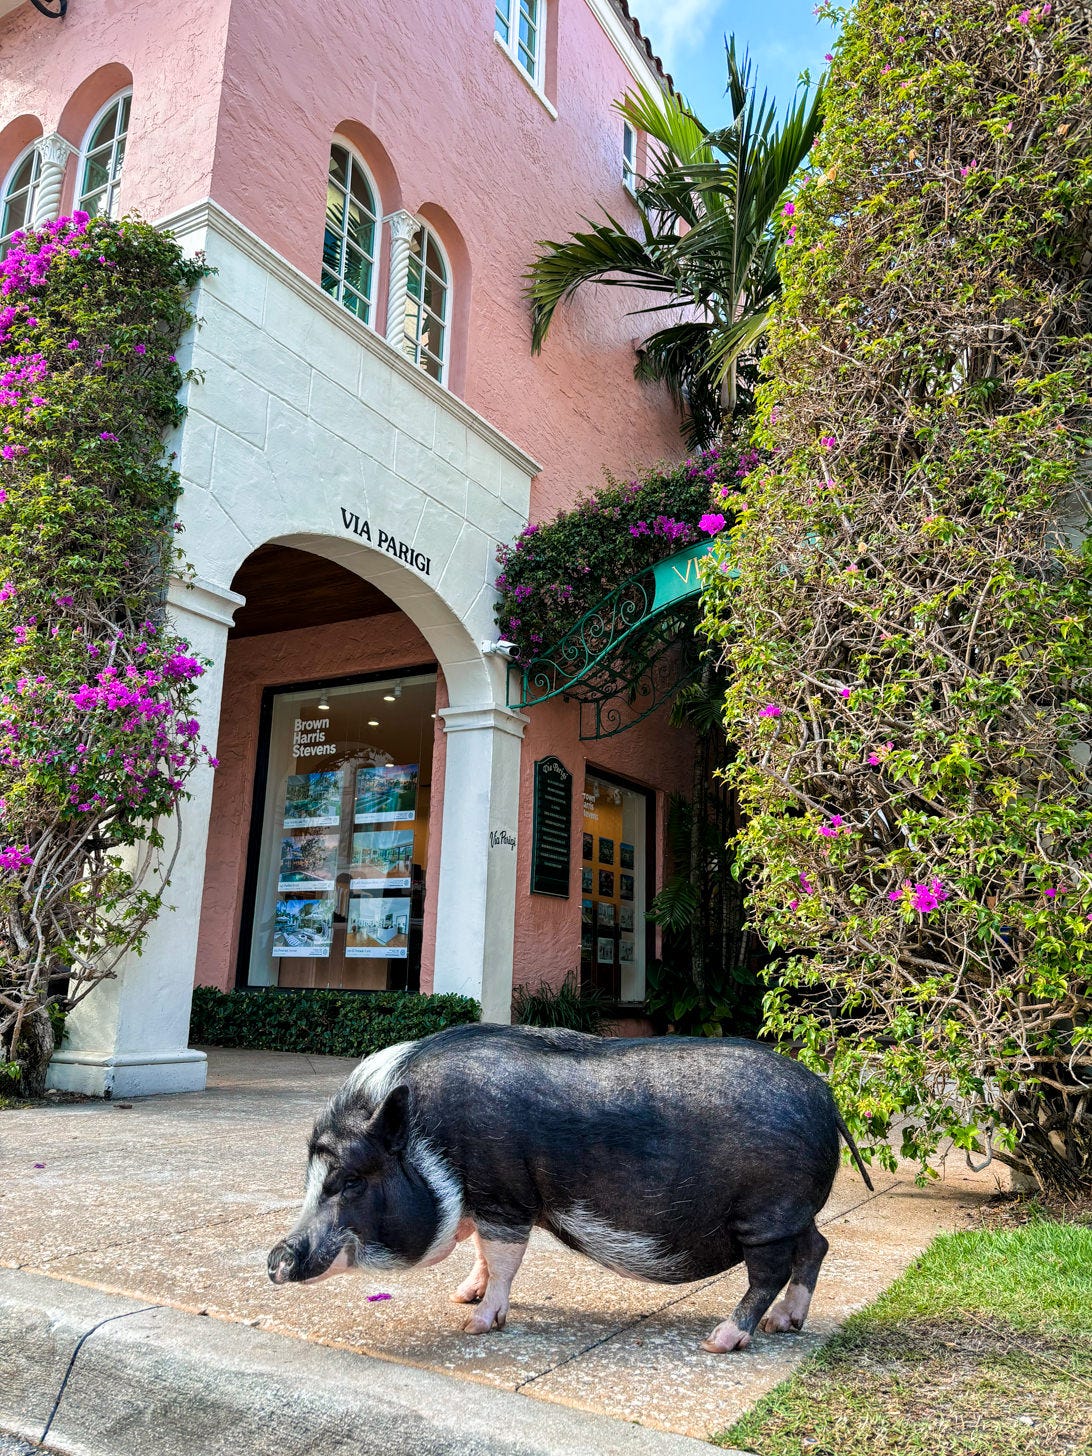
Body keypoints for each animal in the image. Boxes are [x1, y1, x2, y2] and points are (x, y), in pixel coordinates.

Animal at [267, 1025, 873, 1351]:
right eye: (311, 1177)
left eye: (349, 1180)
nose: (274, 1260)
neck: (428, 1140)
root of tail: (825, 1096)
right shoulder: (487, 1202)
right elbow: (482, 1254)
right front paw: (461, 1296)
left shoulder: (504, 1196)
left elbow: (503, 1258)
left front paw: (474, 1323)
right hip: (792, 1212)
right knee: (817, 1246)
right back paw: (785, 1324)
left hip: (765, 1212)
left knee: (768, 1272)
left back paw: (723, 1338)